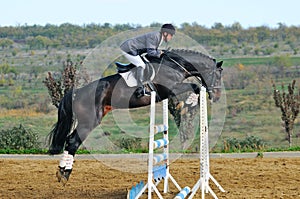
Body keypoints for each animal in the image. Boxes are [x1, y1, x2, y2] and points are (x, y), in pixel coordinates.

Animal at [47, 49, 223, 184]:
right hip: (89, 121)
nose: (217, 97)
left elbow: (194, 87)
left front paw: (187, 104)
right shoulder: (170, 88)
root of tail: (77, 92)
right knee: (73, 141)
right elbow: (194, 86)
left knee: (70, 140)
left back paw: (62, 171)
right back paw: (64, 173)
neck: (174, 65)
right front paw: (189, 102)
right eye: (218, 75)